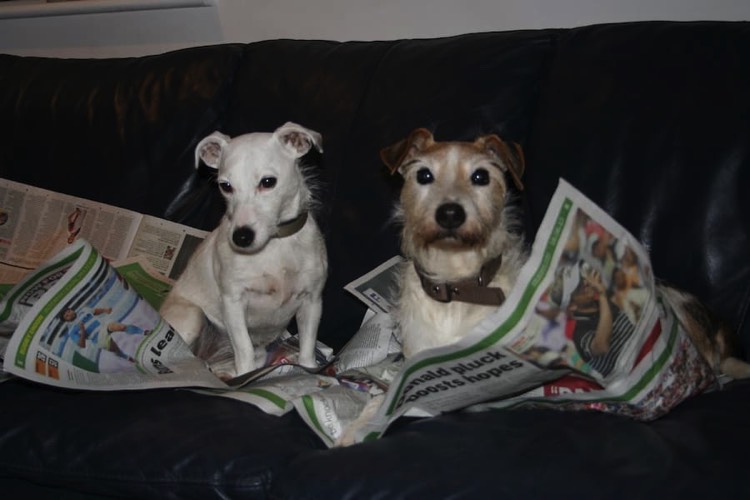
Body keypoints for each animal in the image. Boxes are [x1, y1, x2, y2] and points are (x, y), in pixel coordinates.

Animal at [162, 122, 328, 378]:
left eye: (268, 182)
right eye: (226, 186)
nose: (240, 237)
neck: (274, 246)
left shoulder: (312, 302)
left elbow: (307, 348)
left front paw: (308, 369)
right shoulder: (233, 303)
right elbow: (244, 350)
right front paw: (246, 374)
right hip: (192, 316)